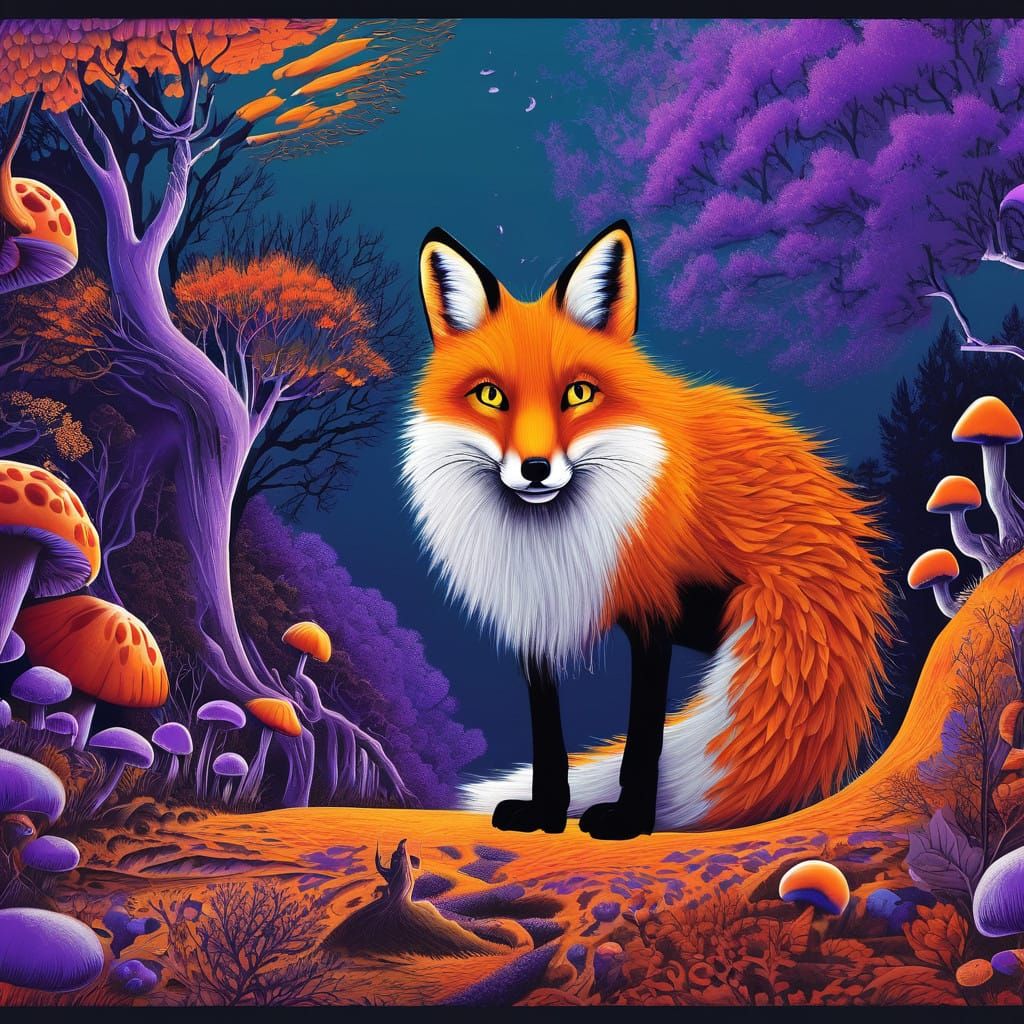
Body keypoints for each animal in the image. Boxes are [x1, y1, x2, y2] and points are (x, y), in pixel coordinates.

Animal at [401, 220, 892, 840]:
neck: (552, 543)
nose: (535, 469)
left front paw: (630, 819)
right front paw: (546, 812)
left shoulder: (654, 613)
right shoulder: (535, 620)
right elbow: (547, 737)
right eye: (491, 396)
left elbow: (642, 741)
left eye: (578, 394)